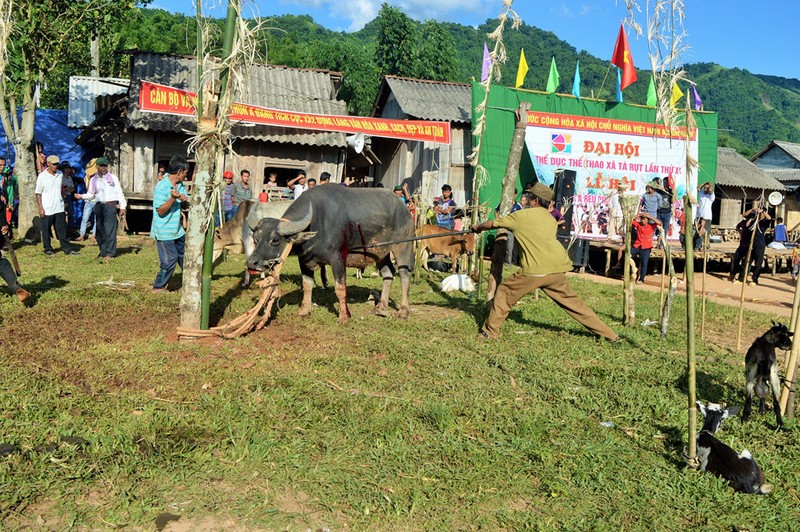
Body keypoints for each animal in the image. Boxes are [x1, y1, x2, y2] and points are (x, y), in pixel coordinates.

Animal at [247, 185, 416, 322]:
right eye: (255, 238)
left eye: (275, 239)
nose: (251, 262)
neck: (316, 223)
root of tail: (404, 208)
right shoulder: (304, 260)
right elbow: (307, 285)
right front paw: (304, 310)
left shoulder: (337, 259)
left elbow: (340, 287)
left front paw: (343, 316)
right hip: (381, 254)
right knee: (388, 273)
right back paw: (381, 306)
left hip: (403, 245)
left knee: (404, 274)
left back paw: (403, 311)